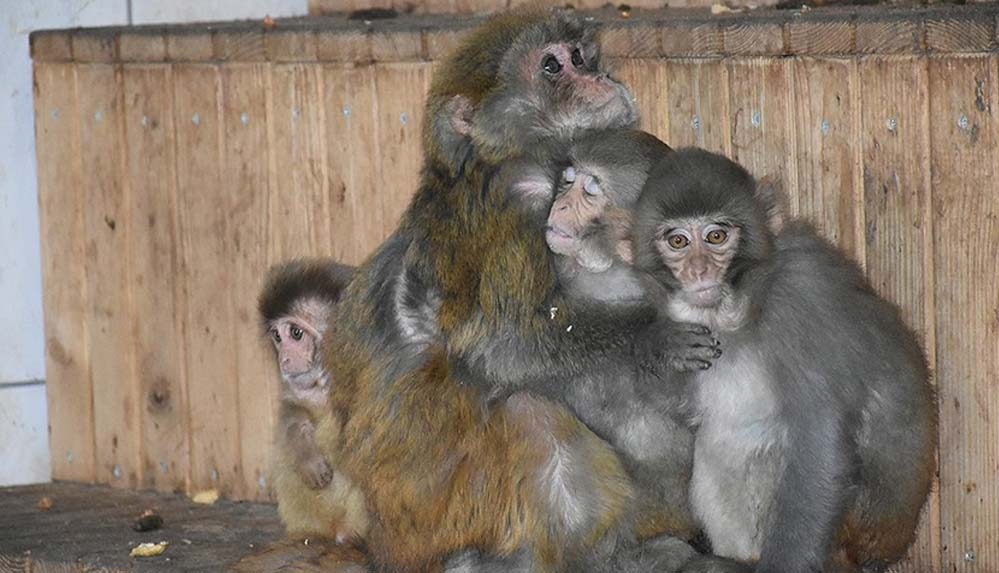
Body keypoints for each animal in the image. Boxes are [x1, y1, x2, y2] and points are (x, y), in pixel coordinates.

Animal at [316, 8, 716, 572]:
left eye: (579, 55)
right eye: (552, 66)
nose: (598, 76)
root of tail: (386, 544)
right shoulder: (521, 196)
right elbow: (501, 343)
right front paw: (653, 337)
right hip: (443, 517)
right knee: (532, 413)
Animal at [632, 149, 936, 572]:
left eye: (716, 236)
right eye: (677, 241)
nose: (698, 270)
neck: (747, 307)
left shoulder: (801, 301)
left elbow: (819, 437)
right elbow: (688, 407)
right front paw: (660, 349)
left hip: (851, 531)